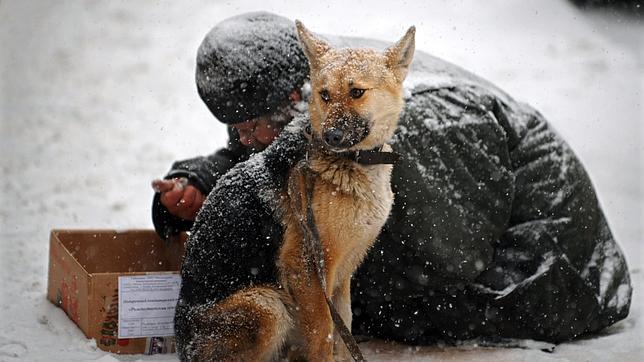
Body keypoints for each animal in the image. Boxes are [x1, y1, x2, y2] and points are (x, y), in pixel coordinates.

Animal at [190, 22, 412, 362]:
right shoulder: (306, 268)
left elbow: (344, 328)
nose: (331, 136)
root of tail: (182, 342)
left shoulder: (342, 275)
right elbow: (323, 335)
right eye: (324, 95)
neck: (352, 162)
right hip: (267, 305)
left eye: (357, 92)